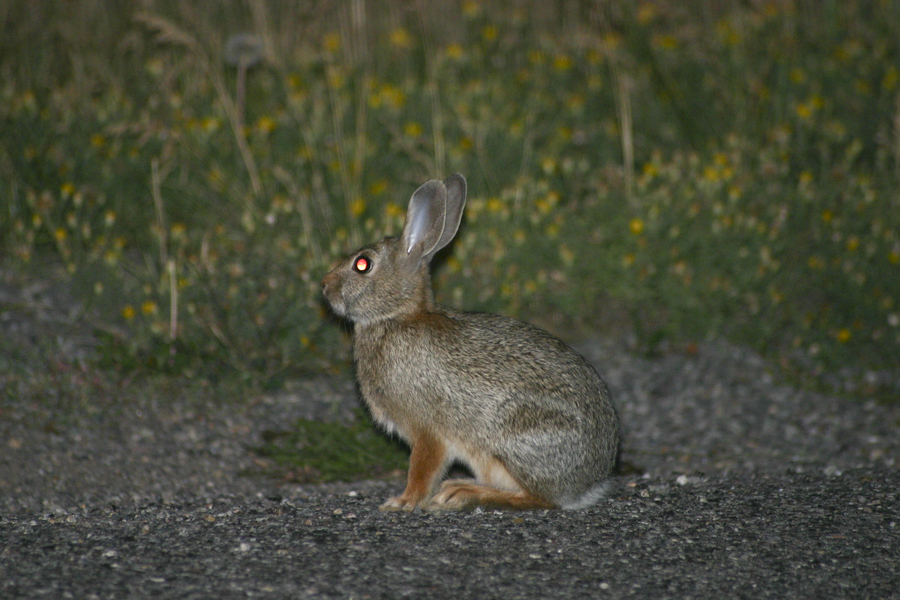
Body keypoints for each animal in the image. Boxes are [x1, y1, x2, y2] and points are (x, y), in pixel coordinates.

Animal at [321, 174, 620, 511]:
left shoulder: (427, 429)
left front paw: (402, 502)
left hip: (516, 440)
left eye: (362, 265)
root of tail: (590, 484)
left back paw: (461, 493)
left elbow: (423, 468)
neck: (395, 316)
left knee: (540, 499)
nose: (324, 286)